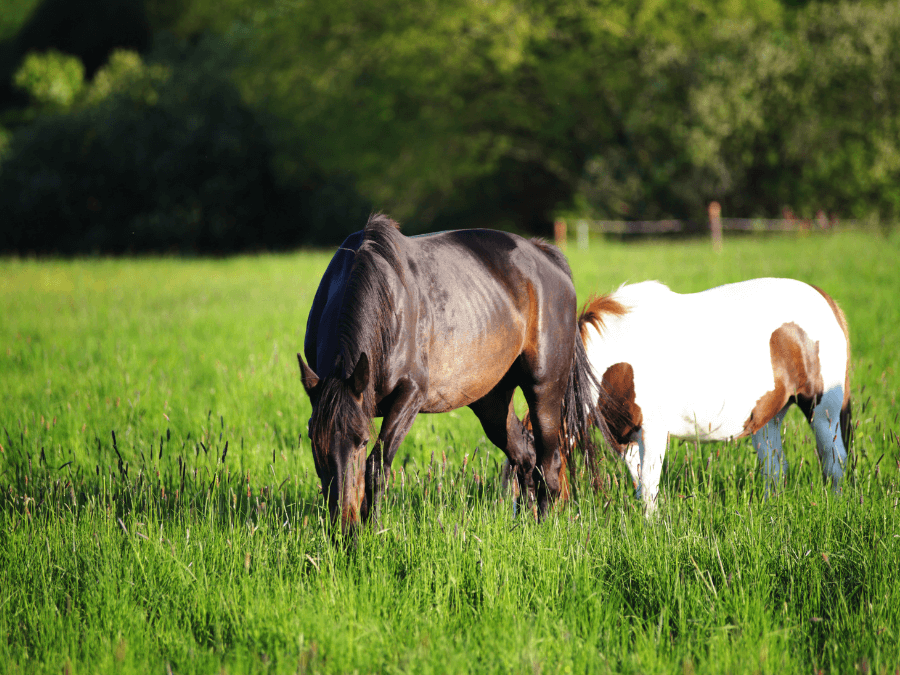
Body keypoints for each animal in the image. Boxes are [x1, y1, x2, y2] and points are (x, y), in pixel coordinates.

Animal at [298, 215, 600, 532]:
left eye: (362, 440)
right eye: (313, 440)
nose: (343, 526)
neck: (387, 302)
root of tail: (547, 257)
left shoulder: (410, 395)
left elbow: (377, 468)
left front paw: (375, 529)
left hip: (544, 389)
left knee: (549, 463)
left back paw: (542, 525)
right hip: (491, 402)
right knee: (525, 454)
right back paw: (523, 523)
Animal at [576, 278, 852, 512]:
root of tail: (823, 296)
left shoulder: (652, 431)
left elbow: (648, 486)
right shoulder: (624, 437)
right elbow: (639, 483)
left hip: (823, 413)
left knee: (834, 462)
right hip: (769, 418)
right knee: (774, 469)